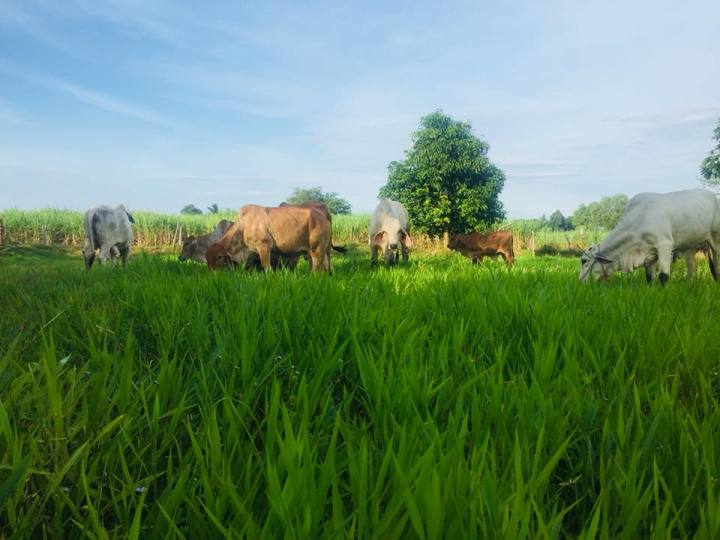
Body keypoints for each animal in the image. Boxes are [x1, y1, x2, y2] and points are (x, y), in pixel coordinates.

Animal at [580, 189, 720, 284]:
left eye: (584, 261)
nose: (581, 282)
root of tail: (714, 196)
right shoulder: (649, 254)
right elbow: (649, 278)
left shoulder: (664, 245)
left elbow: (663, 276)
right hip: (689, 248)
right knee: (692, 270)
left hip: (716, 241)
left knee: (717, 267)